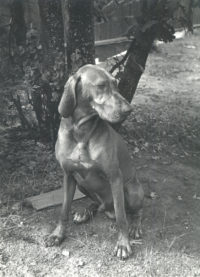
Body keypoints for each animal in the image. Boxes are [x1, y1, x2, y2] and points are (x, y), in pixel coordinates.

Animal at [45, 63, 144, 258]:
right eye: (101, 86)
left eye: (116, 84)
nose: (129, 110)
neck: (81, 131)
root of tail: (106, 209)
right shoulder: (68, 175)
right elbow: (63, 210)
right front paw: (57, 234)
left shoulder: (115, 177)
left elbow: (122, 217)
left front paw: (123, 244)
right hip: (82, 184)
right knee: (96, 203)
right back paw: (86, 211)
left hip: (132, 189)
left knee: (135, 211)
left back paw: (135, 225)